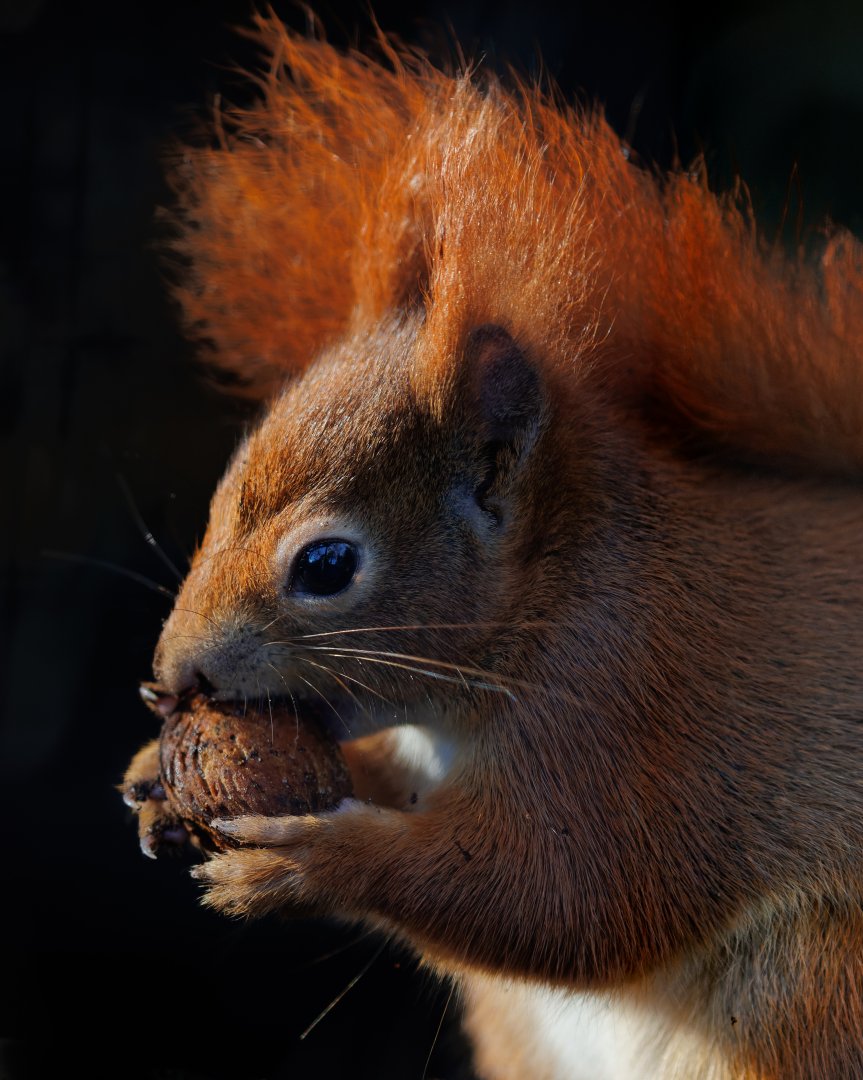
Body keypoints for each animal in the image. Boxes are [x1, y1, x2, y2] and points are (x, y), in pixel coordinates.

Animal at [122, 13, 863, 1079]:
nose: (169, 680)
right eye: (218, 497)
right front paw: (153, 772)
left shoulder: (631, 712)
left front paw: (309, 862)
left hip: (817, 988)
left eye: (325, 567)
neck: (558, 586)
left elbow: (562, 896)